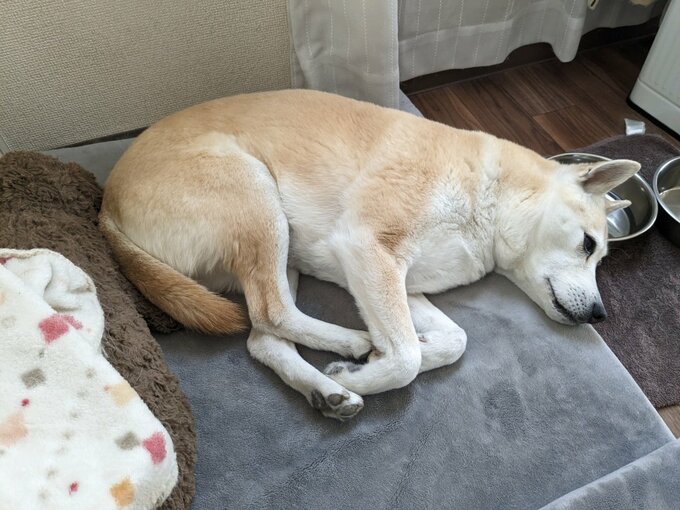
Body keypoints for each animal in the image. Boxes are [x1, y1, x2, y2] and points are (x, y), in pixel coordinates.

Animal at [100, 90, 639, 420]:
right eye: (589, 245)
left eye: (600, 257)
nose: (599, 314)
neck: (490, 195)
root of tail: (106, 205)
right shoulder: (369, 249)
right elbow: (405, 357)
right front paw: (372, 366)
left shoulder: (403, 284)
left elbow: (451, 341)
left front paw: (364, 370)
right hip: (257, 193)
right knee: (272, 312)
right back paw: (352, 344)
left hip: (283, 249)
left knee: (264, 334)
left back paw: (326, 388)